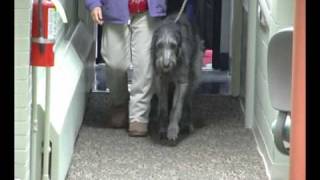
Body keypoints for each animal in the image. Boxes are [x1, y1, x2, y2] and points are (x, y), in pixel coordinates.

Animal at [151, 12, 205, 143]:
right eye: (159, 45)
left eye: (173, 46)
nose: (166, 65)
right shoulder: (159, 80)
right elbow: (163, 107)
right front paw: (162, 128)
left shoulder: (182, 82)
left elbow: (176, 107)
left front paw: (172, 129)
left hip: (193, 75)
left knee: (187, 100)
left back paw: (187, 124)